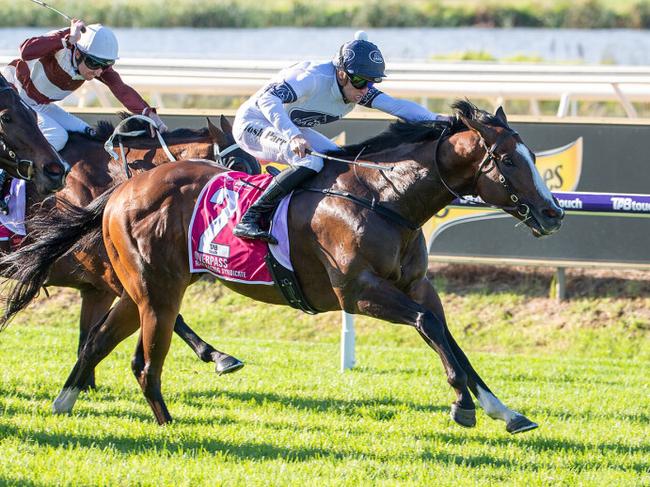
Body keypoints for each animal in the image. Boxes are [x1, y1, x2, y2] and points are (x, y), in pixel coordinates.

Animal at [0, 115, 258, 388]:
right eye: (236, 164)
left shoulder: (97, 289)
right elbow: (171, 316)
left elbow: (88, 337)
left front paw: (85, 385)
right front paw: (219, 356)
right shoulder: (119, 277)